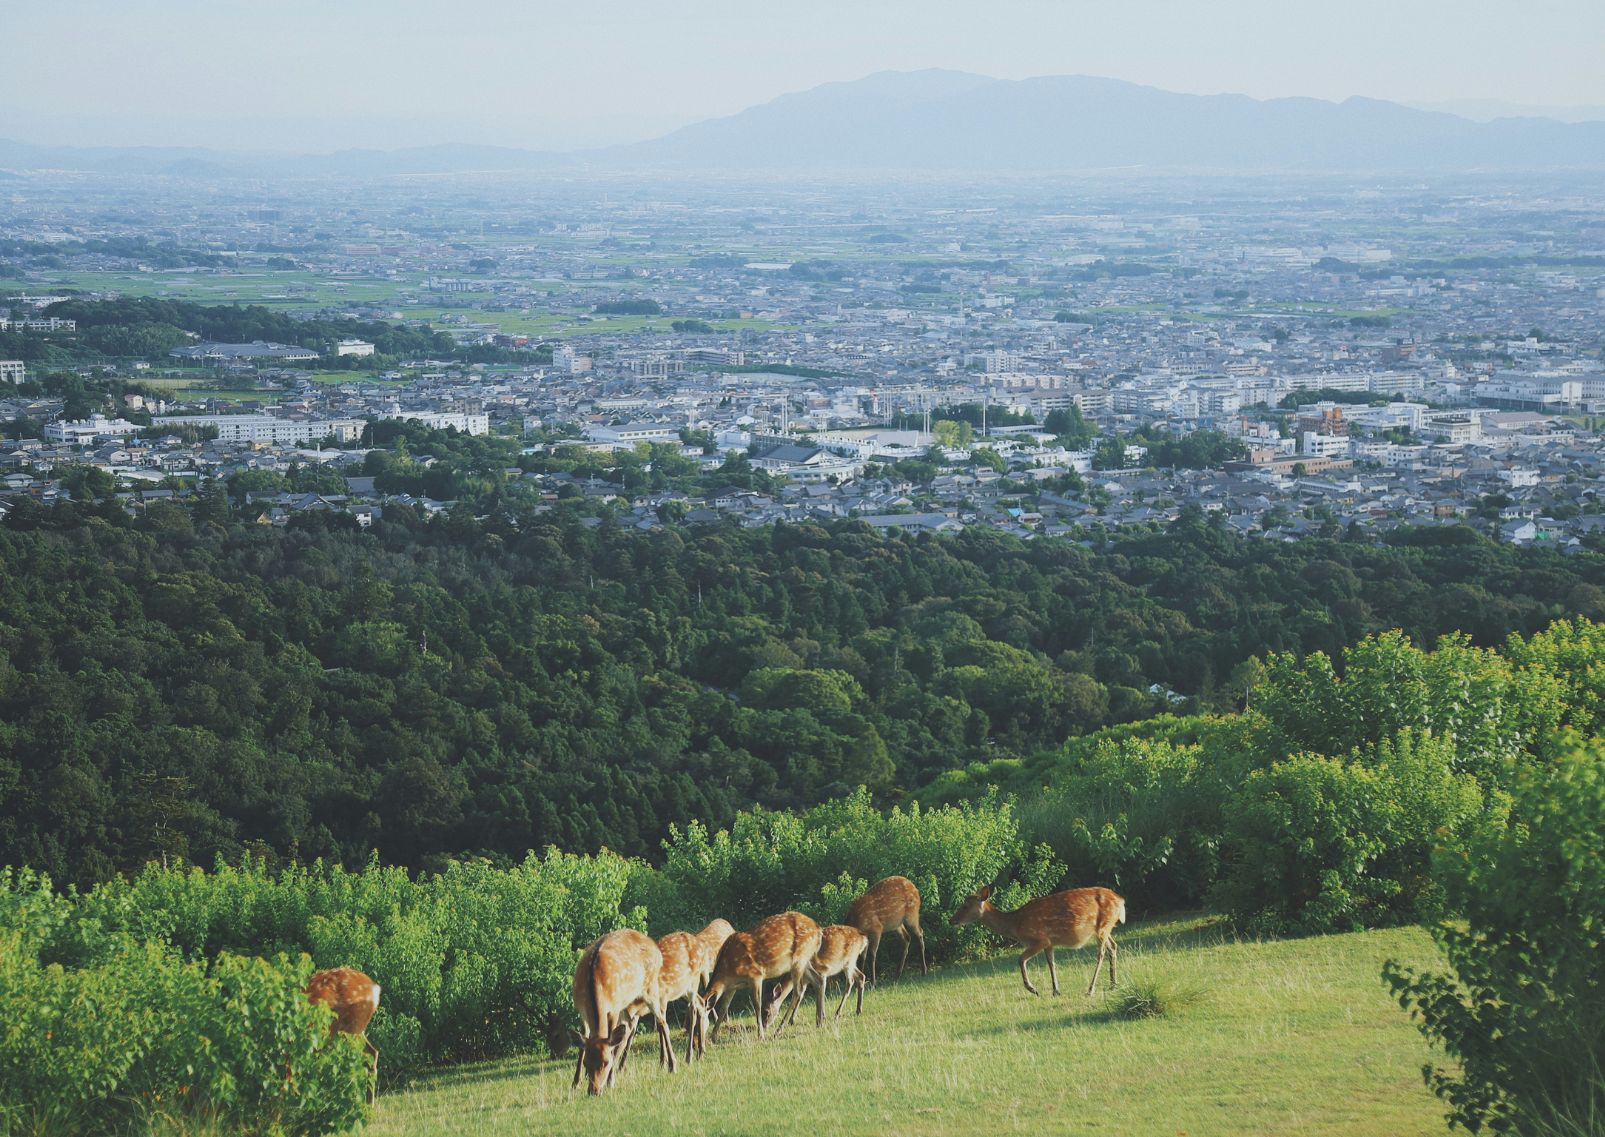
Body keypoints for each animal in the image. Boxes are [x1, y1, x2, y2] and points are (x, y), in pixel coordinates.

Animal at [571, 931, 677, 1098]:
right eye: (586, 1063)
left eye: (605, 1062)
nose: (594, 1091)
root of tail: (655, 948)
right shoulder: (581, 1010)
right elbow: (584, 1040)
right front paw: (575, 1082)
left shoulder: (613, 1008)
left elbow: (610, 1040)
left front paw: (609, 1080)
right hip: (628, 1004)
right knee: (629, 1028)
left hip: (650, 989)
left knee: (662, 1022)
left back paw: (672, 1066)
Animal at [706, 912, 821, 1040]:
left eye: (767, 1011)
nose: (765, 1027)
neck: (728, 969)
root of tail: (818, 929)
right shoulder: (732, 986)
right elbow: (724, 1007)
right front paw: (713, 1036)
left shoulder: (755, 975)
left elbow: (756, 1004)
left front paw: (760, 1035)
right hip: (805, 961)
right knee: (818, 979)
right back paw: (820, 1021)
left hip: (799, 959)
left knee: (798, 991)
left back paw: (778, 1030)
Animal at [943, 886, 1123, 995]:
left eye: (965, 906)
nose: (951, 920)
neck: (1016, 925)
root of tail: (1121, 901)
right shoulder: (1049, 942)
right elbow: (1051, 963)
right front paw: (1055, 990)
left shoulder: (1039, 939)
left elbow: (1020, 959)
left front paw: (1032, 988)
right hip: (1105, 928)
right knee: (1113, 947)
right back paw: (1113, 984)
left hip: (1102, 927)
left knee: (1101, 953)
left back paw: (1091, 989)